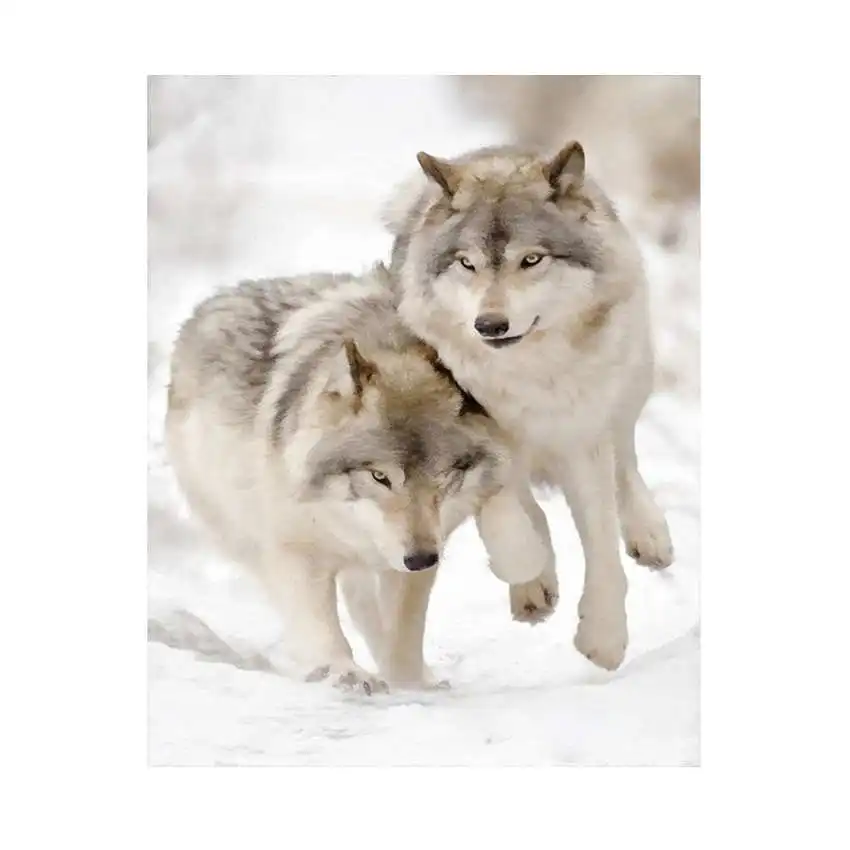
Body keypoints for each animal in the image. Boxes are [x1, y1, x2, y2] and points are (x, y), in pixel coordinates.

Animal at [165, 264, 550, 693]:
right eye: (379, 476)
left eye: (444, 475)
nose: (420, 558)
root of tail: (210, 304)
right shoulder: (295, 550)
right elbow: (323, 627)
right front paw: (344, 673)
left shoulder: (422, 547)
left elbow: (403, 633)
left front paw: (408, 683)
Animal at [384, 142, 675, 671]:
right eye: (467, 263)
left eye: (532, 259)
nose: (489, 325)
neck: (528, 378)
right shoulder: (472, 431)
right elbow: (504, 516)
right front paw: (526, 568)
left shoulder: (582, 438)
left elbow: (602, 542)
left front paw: (604, 638)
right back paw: (535, 586)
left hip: (628, 386)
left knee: (626, 463)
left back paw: (650, 537)